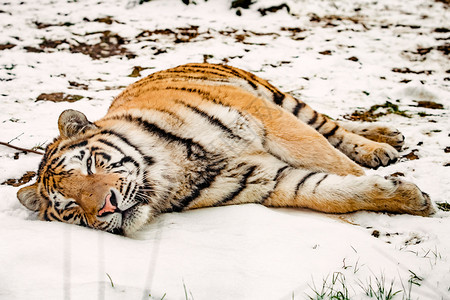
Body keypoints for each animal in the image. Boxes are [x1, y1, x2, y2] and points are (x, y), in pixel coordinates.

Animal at [17, 63, 436, 237]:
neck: (170, 171)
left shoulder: (268, 119)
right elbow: (329, 192)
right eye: (71, 207)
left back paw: (380, 144)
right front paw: (406, 196)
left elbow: (332, 161)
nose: (105, 208)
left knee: (327, 125)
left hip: (276, 97)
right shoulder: (268, 180)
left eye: (89, 164)